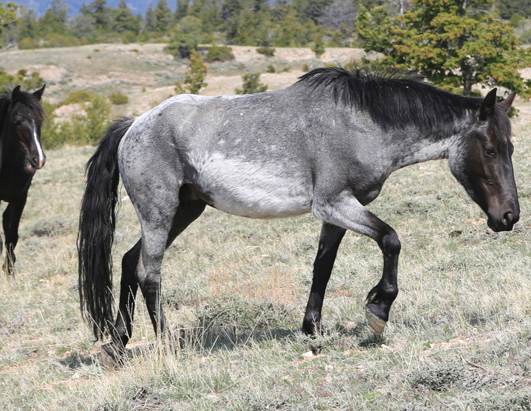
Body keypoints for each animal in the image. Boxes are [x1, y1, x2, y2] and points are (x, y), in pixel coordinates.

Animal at [78, 69, 520, 358]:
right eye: (491, 149)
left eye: (511, 147)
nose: (509, 217)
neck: (359, 124)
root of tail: (134, 125)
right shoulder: (335, 203)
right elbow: (391, 239)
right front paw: (378, 311)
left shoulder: (336, 213)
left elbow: (322, 267)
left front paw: (312, 330)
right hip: (161, 211)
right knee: (148, 271)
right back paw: (168, 346)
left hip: (185, 210)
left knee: (129, 261)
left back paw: (119, 343)